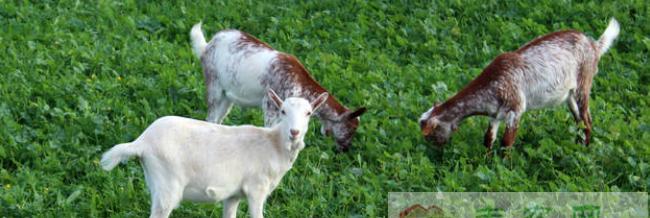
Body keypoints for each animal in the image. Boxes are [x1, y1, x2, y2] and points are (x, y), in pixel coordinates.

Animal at [100, 89, 330, 218]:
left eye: (309, 113)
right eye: (283, 111)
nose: (294, 132)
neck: (273, 145)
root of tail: (142, 142)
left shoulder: (234, 194)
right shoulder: (256, 188)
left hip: (155, 182)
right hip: (168, 184)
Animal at [190, 22, 368, 152]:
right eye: (351, 128)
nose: (345, 149)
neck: (300, 86)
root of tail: (206, 46)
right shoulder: (270, 106)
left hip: (227, 96)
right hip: (213, 84)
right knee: (211, 117)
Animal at [418, 18, 620, 152]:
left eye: (430, 135)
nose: (436, 151)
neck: (493, 82)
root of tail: (594, 45)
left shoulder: (515, 109)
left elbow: (506, 144)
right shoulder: (495, 114)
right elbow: (488, 139)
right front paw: (486, 161)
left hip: (583, 84)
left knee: (587, 120)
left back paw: (585, 149)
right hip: (569, 95)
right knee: (579, 120)